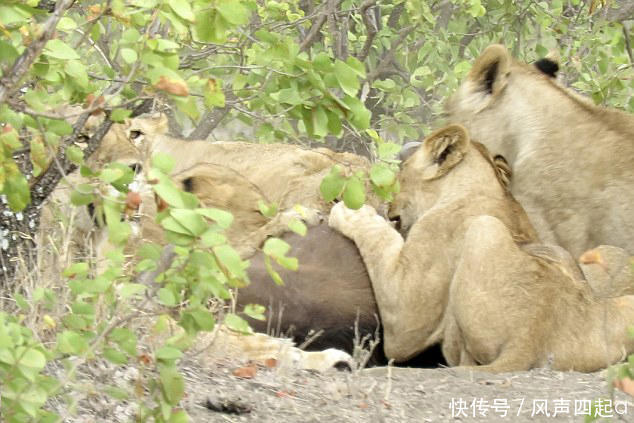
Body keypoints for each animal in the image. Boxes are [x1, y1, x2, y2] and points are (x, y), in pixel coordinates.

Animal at [328, 122, 632, 372]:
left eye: (401, 172)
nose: (389, 206)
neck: (486, 187)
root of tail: (532, 335)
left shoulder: (407, 314)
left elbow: (380, 238)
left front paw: (350, 212)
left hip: (483, 229)